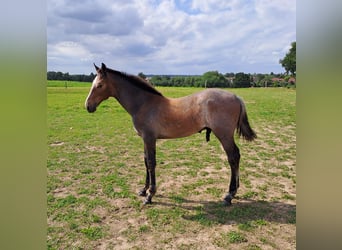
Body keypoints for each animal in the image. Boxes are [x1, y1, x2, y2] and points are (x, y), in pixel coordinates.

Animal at [85, 63, 256, 205]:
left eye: (99, 85)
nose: (88, 106)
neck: (144, 104)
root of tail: (236, 97)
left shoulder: (150, 138)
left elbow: (151, 163)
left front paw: (150, 195)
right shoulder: (145, 139)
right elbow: (146, 161)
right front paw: (143, 190)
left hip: (224, 135)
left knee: (233, 157)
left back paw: (229, 195)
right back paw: (235, 190)